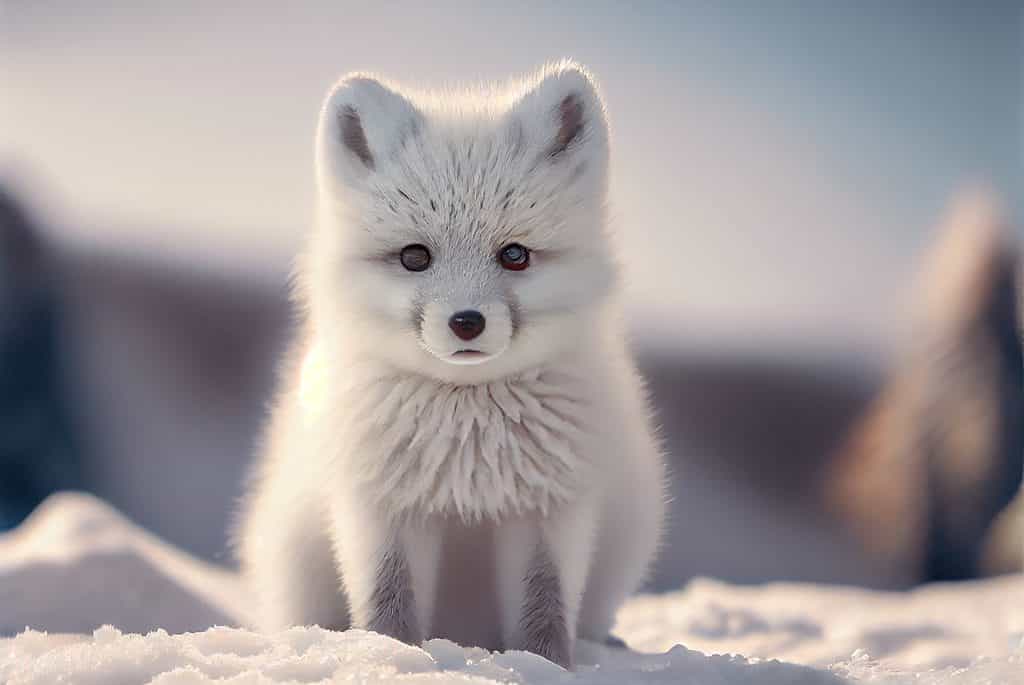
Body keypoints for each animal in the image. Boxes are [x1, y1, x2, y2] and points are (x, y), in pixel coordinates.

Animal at [240, 60, 671, 667]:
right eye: (414, 256)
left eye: (514, 254)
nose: (467, 322)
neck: (468, 433)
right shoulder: (383, 508)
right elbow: (389, 606)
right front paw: (388, 659)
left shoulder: (548, 509)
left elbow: (544, 607)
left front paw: (547, 668)